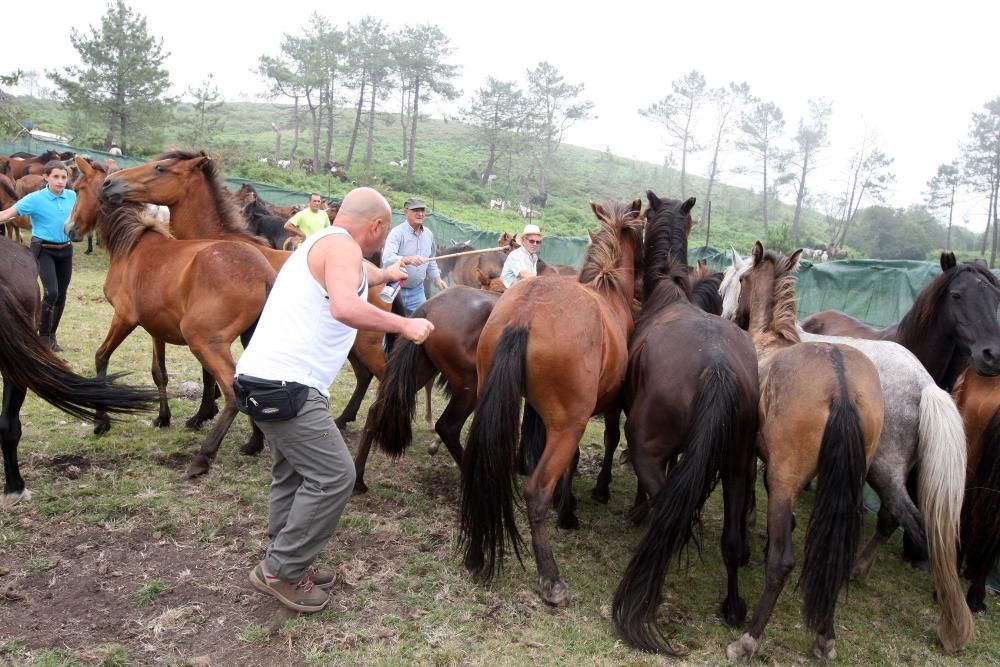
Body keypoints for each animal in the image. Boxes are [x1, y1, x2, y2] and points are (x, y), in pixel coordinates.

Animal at [66, 157, 276, 480]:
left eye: (77, 189)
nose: (69, 229)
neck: (133, 244)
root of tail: (264, 273)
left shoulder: (124, 318)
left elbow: (101, 356)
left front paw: (101, 421)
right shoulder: (156, 328)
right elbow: (159, 372)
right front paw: (162, 417)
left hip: (205, 342)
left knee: (232, 392)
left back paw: (203, 457)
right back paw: (254, 443)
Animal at [458, 197, 644, 604]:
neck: (608, 290)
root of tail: (526, 313)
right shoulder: (602, 408)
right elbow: (603, 444)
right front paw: (571, 509)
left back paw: (477, 555)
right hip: (568, 427)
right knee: (536, 490)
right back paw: (550, 577)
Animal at [608, 194, 756, 656]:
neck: (669, 291)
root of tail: (717, 368)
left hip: (646, 447)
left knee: (668, 513)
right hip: (739, 464)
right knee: (731, 540)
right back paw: (733, 607)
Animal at [728, 240, 884, 664]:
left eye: (742, 280)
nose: (732, 317)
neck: (770, 339)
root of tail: (840, 383)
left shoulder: (757, 461)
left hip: (785, 482)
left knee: (783, 562)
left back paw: (749, 639)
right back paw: (825, 637)